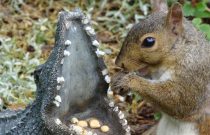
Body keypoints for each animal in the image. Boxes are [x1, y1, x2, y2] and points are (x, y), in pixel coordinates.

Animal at [110, 2, 210, 135]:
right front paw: (117, 79)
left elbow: (177, 101)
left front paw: (130, 81)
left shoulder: (193, 75)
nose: (119, 63)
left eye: (149, 41)